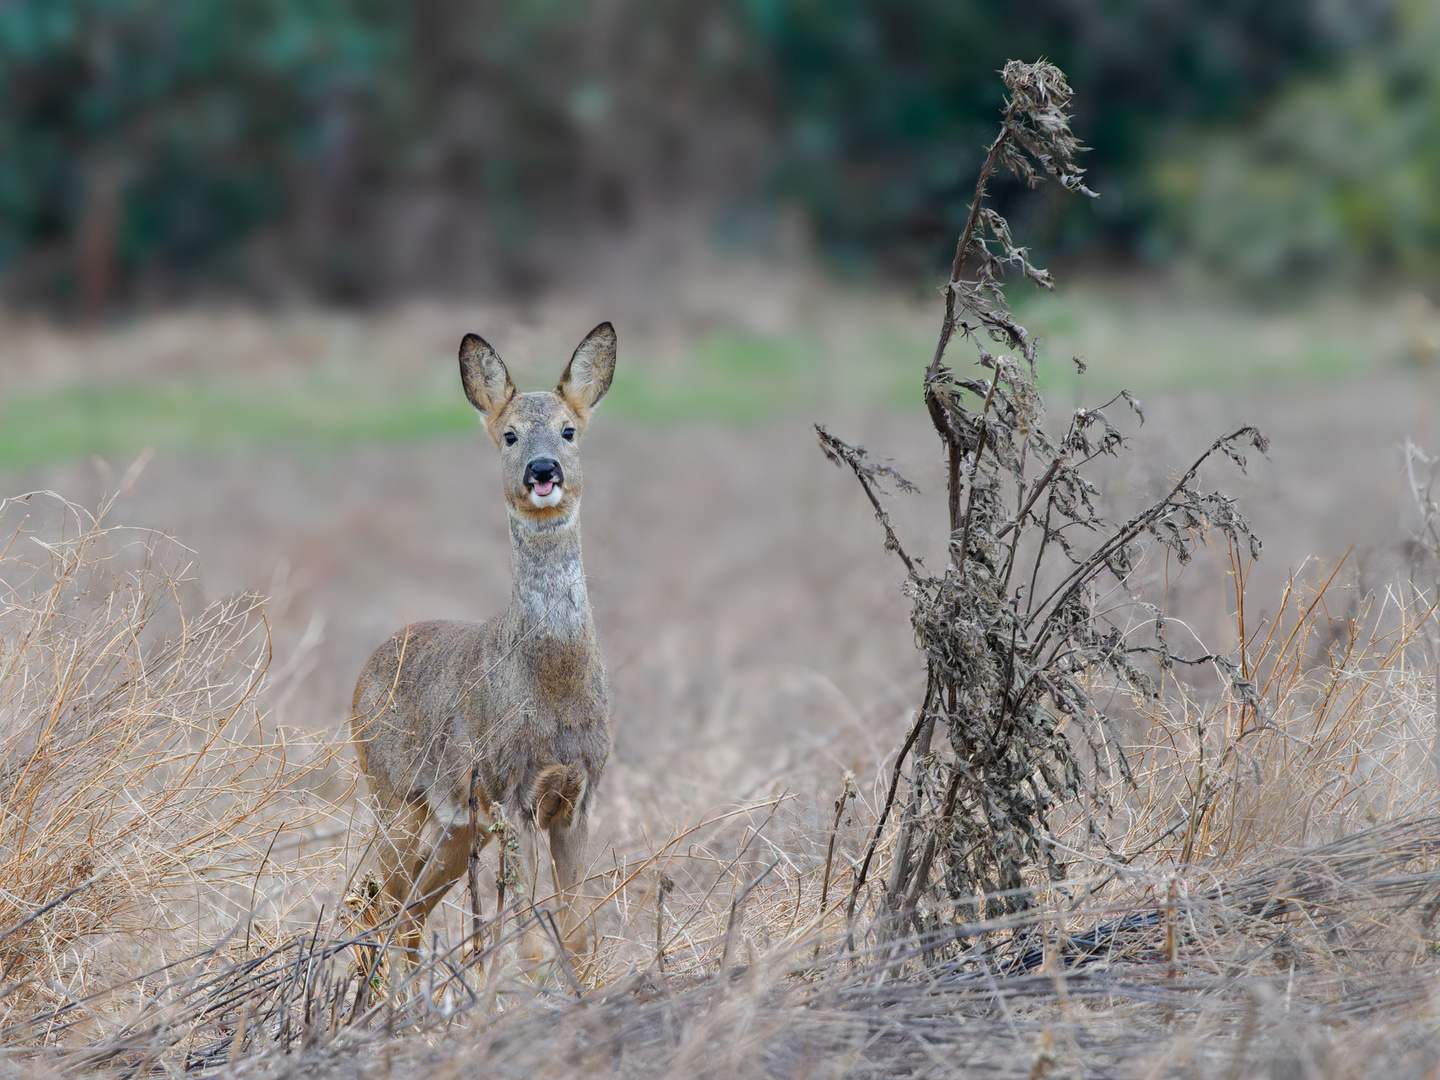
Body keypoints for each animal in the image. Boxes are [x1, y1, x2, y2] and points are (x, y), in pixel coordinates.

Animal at [354, 321, 619, 973]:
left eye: (569, 430)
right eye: (510, 434)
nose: (543, 469)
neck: (553, 687)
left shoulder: (579, 792)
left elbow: (578, 934)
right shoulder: (510, 791)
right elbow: (529, 939)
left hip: (456, 827)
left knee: (407, 917)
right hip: (394, 796)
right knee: (375, 908)